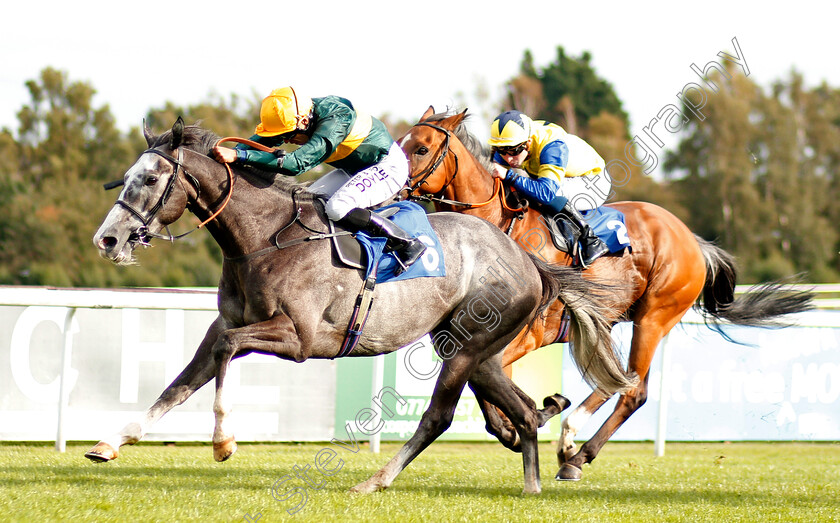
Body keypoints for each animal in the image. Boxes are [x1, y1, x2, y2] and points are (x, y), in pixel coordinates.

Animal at [87, 118, 632, 496]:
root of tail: (526, 259)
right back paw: (533, 484)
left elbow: (226, 350)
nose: (107, 239)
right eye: (127, 176)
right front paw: (110, 443)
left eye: (151, 179)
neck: (263, 239)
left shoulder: (299, 338)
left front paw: (223, 441)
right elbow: (181, 382)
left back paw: (376, 480)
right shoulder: (227, 322)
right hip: (477, 351)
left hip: (465, 350)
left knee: (439, 417)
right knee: (520, 411)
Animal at [398, 107, 812, 484]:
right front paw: (528, 418)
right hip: (610, 319)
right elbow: (484, 387)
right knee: (617, 378)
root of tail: (691, 239)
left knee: (633, 389)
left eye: (421, 148)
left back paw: (577, 456)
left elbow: (485, 383)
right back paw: (568, 439)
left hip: (653, 318)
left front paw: (527, 420)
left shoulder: (529, 333)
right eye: (401, 141)